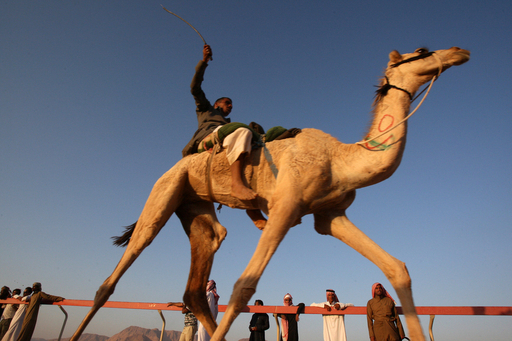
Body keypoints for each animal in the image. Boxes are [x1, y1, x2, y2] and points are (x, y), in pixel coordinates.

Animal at [70, 46, 470, 340]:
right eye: (422, 50)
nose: (459, 51)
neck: (339, 160)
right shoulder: (286, 206)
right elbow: (244, 285)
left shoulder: (330, 216)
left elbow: (397, 267)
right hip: (165, 192)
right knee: (118, 271)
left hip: (196, 208)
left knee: (199, 276)